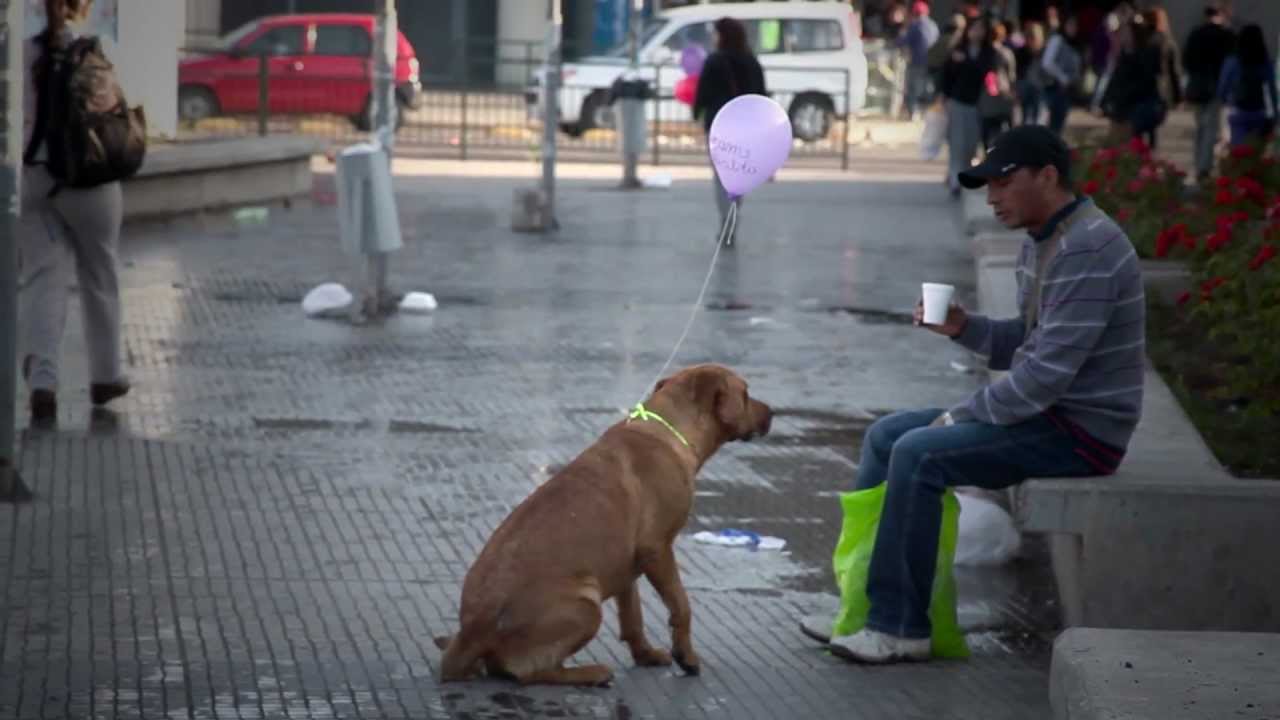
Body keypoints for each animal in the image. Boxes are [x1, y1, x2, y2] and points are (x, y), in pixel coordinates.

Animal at [437, 363, 768, 681]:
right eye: (746, 393)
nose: (772, 413)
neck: (670, 430)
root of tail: (472, 633)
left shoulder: (629, 563)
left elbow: (632, 614)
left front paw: (645, 654)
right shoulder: (658, 549)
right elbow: (681, 605)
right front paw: (685, 656)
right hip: (586, 605)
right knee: (529, 672)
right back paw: (590, 673)